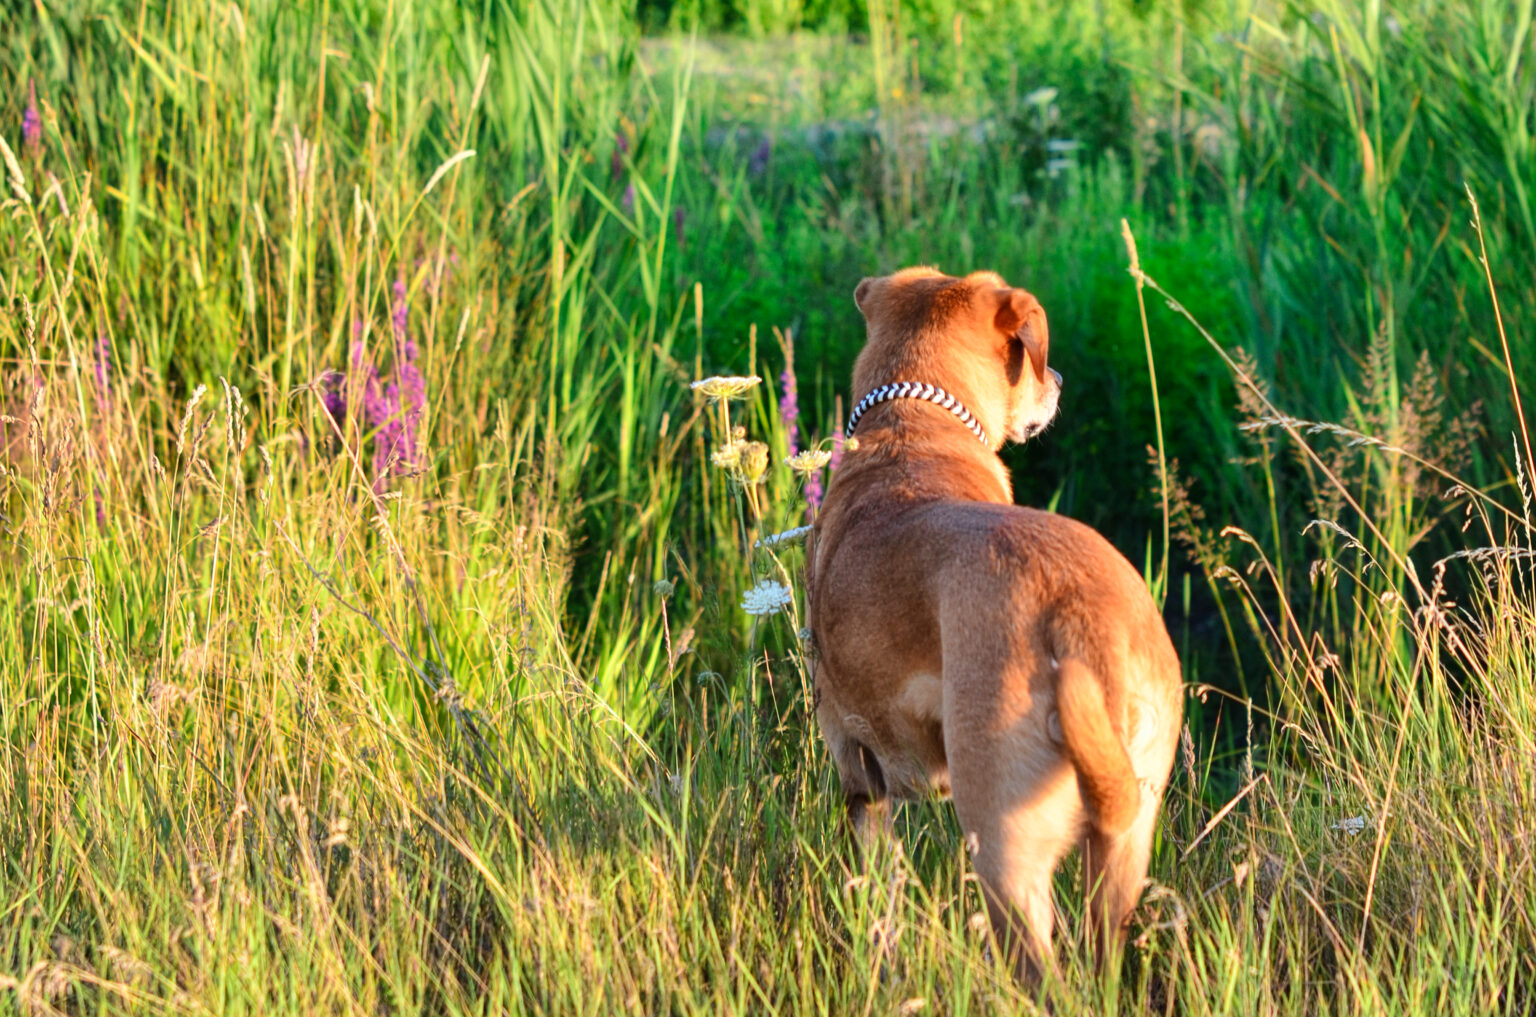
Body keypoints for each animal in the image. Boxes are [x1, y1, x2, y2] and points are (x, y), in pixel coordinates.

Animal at [811, 267, 1179, 983]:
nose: (1057, 378)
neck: (914, 427)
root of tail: (1074, 611)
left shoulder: (856, 767)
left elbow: (877, 896)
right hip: (1121, 845)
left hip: (1004, 851)